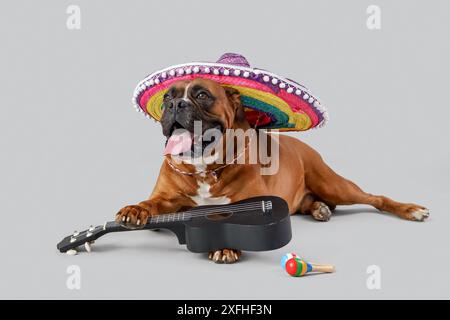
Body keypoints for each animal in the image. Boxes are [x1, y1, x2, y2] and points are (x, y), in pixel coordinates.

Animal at [115, 77, 428, 262]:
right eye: (167, 97)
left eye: (202, 95)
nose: (174, 104)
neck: (205, 168)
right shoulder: (166, 199)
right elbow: (149, 204)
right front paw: (133, 209)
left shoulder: (248, 202)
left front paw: (225, 245)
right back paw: (319, 209)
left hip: (335, 185)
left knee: (376, 198)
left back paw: (410, 209)